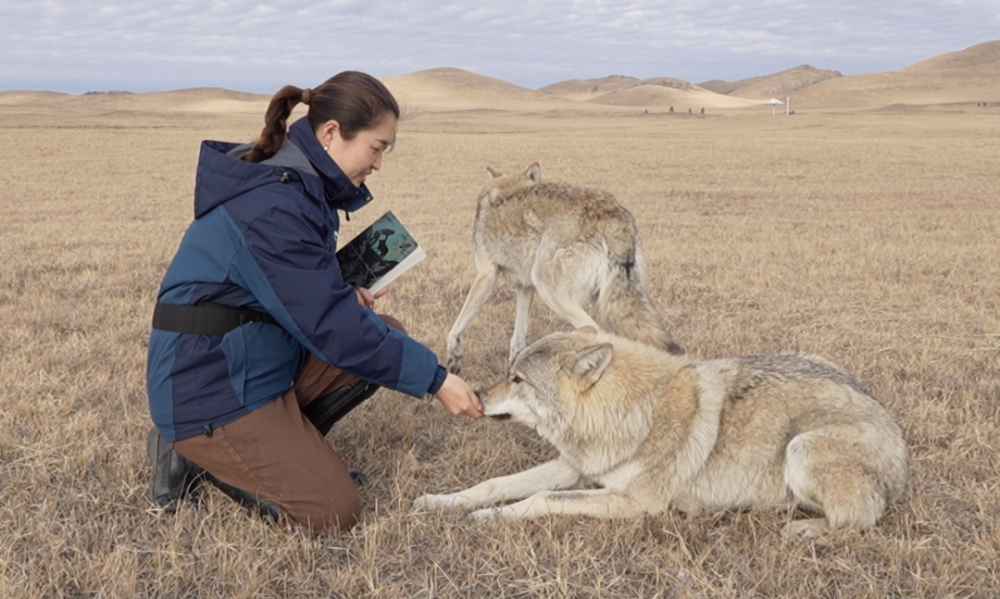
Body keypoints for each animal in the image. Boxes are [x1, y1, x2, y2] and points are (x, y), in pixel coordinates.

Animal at [414, 330, 908, 536]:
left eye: (517, 379)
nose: (476, 394)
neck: (628, 414)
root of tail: (900, 444)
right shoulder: (574, 467)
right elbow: (491, 484)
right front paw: (442, 502)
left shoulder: (635, 502)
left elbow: (539, 500)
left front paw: (488, 519)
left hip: (800, 449)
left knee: (857, 521)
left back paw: (803, 530)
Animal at [444, 164, 680, 376]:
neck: (505, 187)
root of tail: (614, 217)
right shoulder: (525, 287)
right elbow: (517, 341)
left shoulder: (486, 276)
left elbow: (456, 328)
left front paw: (454, 357)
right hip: (609, 302)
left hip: (549, 287)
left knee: (597, 334)